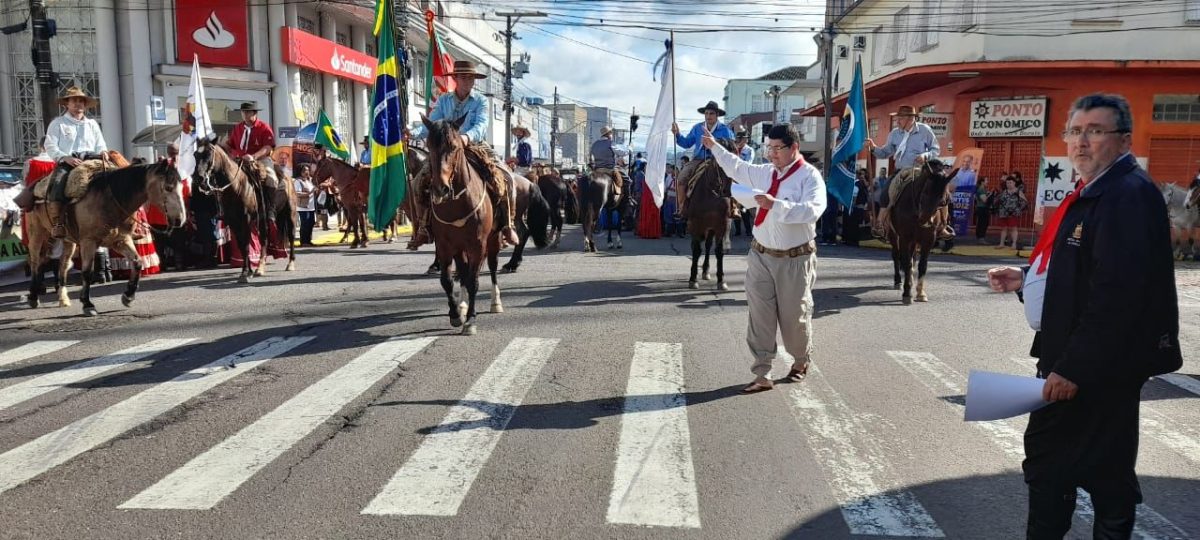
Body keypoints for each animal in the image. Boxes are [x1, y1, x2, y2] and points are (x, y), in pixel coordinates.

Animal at [24, 159, 184, 316]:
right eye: (168, 187)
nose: (179, 220)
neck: (110, 200)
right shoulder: (88, 242)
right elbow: (87, 272)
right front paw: (87, 304)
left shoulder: (121, 240)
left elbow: (137, 262)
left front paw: (128, 296)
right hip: (37, 234)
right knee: (35, 262)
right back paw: (33, 297)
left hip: (68, 240)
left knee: (63, 264)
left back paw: (63, 298)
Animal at [422, 113, 501, 333]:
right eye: (429, 146)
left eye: (455, 147)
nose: (440, 188)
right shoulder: (444, 245)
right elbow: (447, 280)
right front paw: (456, 314)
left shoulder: (478, 244)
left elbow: (474, 281)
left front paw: (471, 320)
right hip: (459, 248)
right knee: (464, 271)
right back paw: (463, 305)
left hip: (493, 240)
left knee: (492, 267)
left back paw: (495, 302)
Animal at [691, 147, 734, 291]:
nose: (728, 191)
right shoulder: (696, 223)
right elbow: (696, 250)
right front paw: (693, 279)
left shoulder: (721, 225)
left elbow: (719, 251)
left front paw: (721, 280)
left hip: (711, 227)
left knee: (708, 244)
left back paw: (705, 271)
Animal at [892, 159, 955, 303]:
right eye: (925, 193)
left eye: (943, 201)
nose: (924, 221)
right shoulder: (904, 238)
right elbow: (906, 263)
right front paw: (907, 293)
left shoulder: (928, 240)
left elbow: (922, 265)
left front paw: (920, 293)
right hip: (895, 236)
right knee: (897, 256)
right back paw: (898, 281)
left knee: (912, 259)